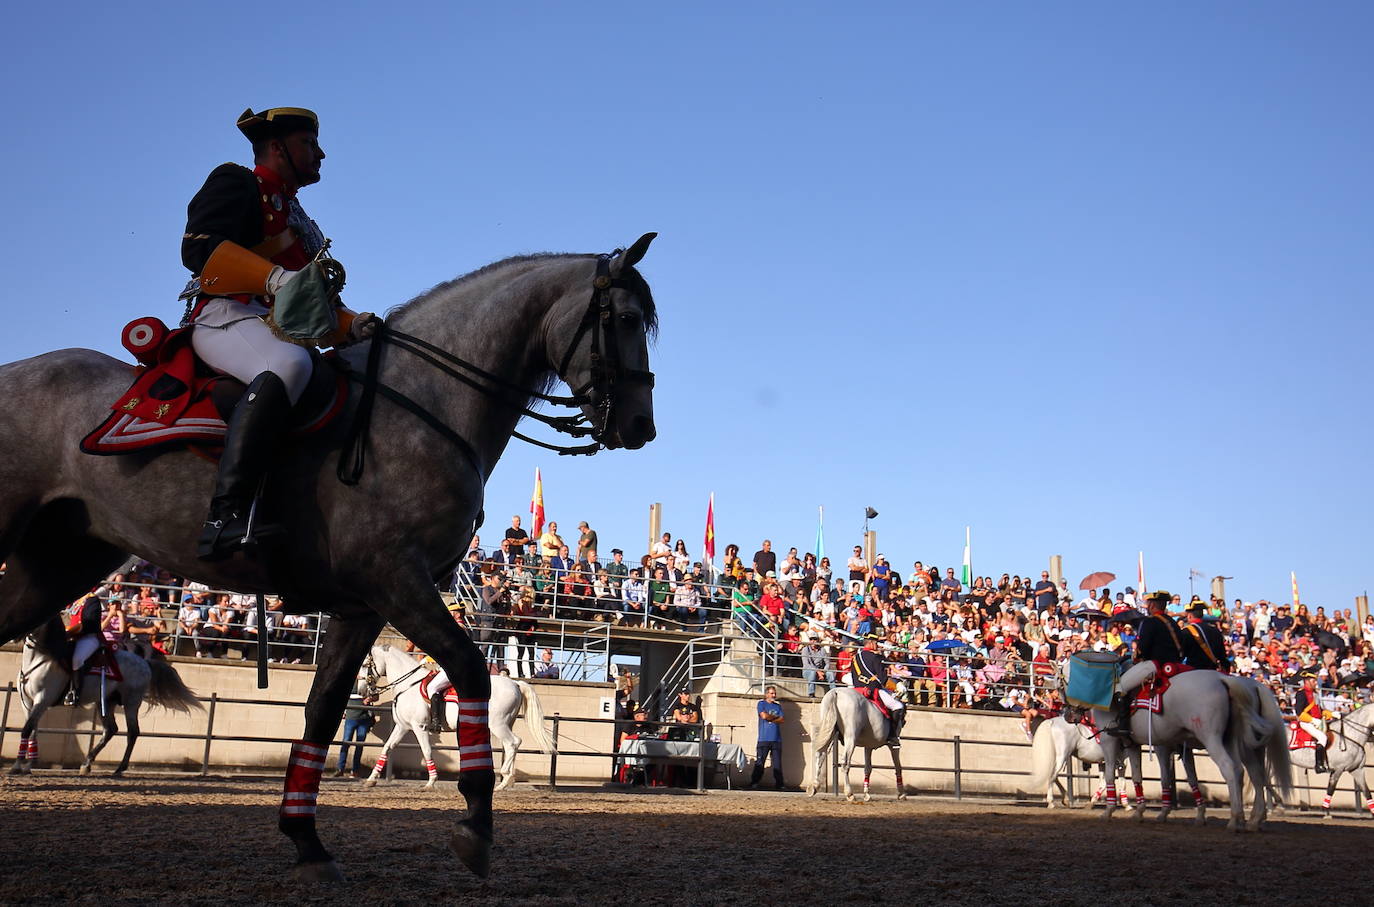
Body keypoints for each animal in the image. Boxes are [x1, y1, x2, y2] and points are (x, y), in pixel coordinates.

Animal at [8, 621, 200, 775]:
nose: (15, 635)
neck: (42, 658)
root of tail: (144, 662)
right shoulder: (28, 703)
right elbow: (32, 730)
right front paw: (26, 765)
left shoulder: (43, 699)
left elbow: (27, 729)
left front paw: (18, 767)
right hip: (107, 701)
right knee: (110, 729)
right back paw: (86, 764)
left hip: (131, 702)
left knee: (132, 732)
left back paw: (119, 768)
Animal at [365, 640, 557, 791]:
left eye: (366, 665)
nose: (367, 692)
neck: (408, 685)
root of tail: (514, 683)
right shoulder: (402, 726)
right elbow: (387, 747)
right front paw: (371, 779)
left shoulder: (419, 727)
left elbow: (426, 751)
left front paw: (431, 782)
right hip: (507, 723)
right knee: (511, 746)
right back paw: (507, 781)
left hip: (497, 724)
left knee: (513, 743)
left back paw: (504, 778)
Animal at [1093, 670, 1286, 830]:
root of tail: (1223, 679)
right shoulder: (1135, 744)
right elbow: (1141, 776)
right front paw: (1141, 811)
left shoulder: (1114, 740)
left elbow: (1113, 774)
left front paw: (1109, 810)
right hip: (1234, 741)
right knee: (1250, 773)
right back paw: (1253, 819)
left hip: (1214, 739)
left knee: (1232, 768)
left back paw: (1236, 819)